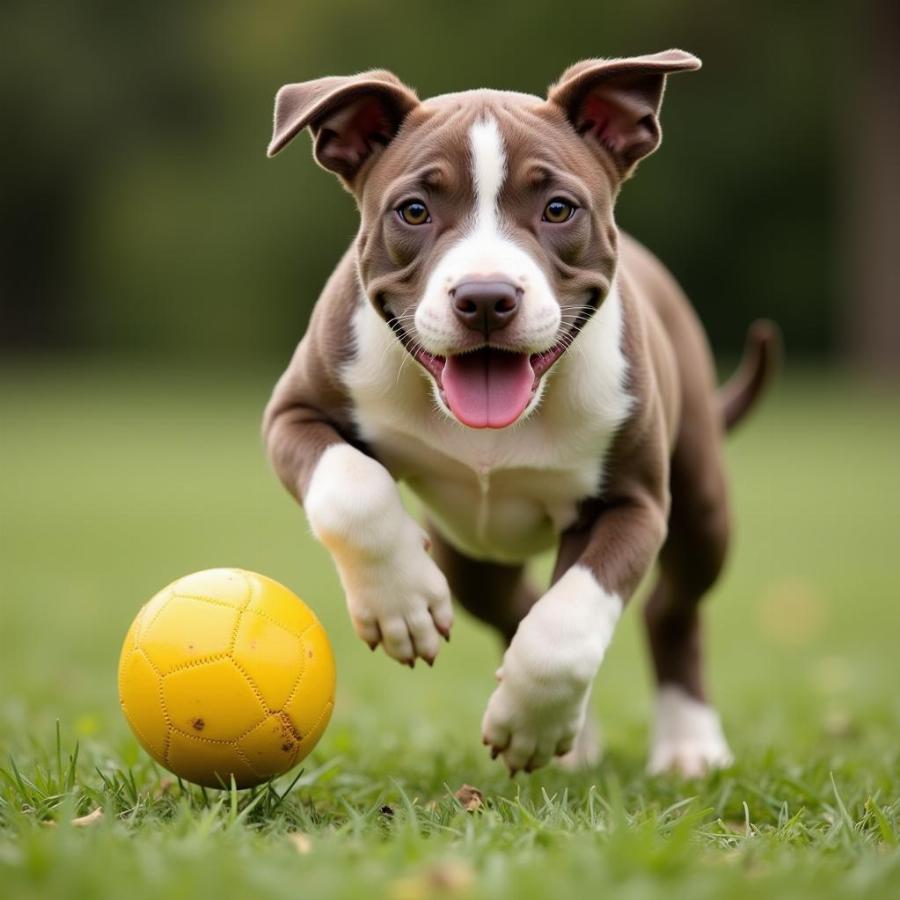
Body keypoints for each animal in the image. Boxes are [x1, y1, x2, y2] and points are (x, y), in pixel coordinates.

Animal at [262, 52, 780, 776]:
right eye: (413, 210)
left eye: (559, 208)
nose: (485, 297)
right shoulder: (295, 412)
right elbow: (350, 490)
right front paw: (403, 604)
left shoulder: (633, 503)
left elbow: (572, 620)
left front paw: (531, 723)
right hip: (467, 553)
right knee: (515, 601)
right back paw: (578, 740)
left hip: (702, 505)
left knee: (669, 608)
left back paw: (688, 745)